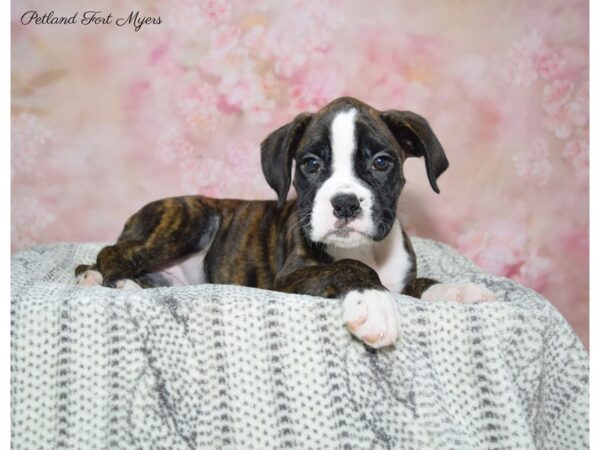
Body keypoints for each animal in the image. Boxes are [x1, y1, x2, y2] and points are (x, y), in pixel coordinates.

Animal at [77, 97, 494, 348]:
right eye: (310, 164)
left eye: (381, 162)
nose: (344, 203)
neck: (367, 248)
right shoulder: (290, 279)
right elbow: (349, 265)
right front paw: (372, 301)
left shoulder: (403, 279)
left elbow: (421, 283)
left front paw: (456, 290)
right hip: (191, 218)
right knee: (112, 252)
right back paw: (119, 282)